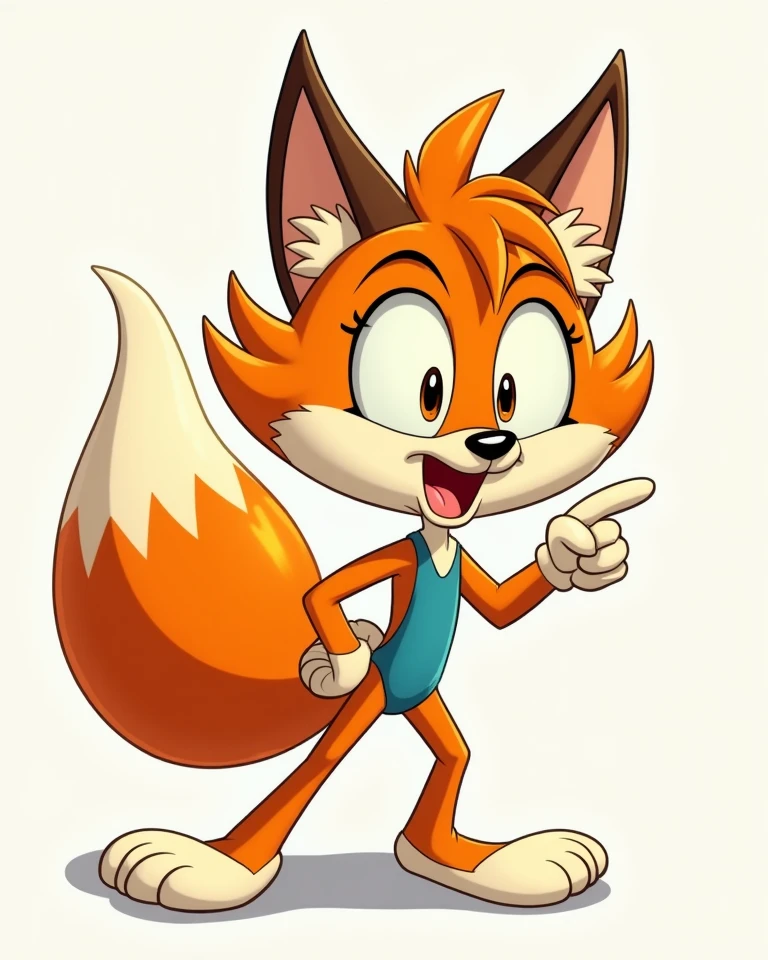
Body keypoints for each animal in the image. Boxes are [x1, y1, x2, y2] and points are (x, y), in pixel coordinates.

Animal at [53, 32, 654, 913]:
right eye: (422, 385)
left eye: (518, 388)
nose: (492, 442)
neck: (439, 538)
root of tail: (398, 697)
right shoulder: (401, 554)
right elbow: (326, 594)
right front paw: (334, 660)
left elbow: (500, 609)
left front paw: (582, 548)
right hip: (379, 700)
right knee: (322, 759)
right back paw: (222, 861)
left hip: (428, 706)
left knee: (453, 755)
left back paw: (455, 857)